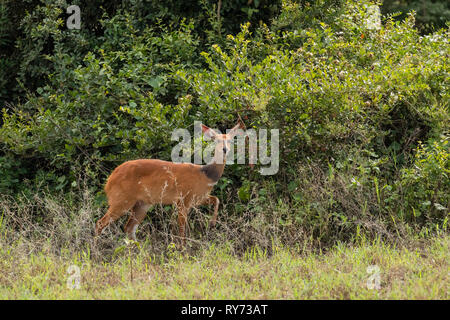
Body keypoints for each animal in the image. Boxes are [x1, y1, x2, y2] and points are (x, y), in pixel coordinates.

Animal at [93, 120, 244, 245]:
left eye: (230, 141)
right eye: (215, 140)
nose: (225, 149)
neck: (205, 175)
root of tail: (109, 180)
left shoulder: (198, 198)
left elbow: (216, 199)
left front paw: (212, 223)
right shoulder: (182, 200)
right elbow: (182, 229)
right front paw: (183, 249)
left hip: (142, 203)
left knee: (129, 228)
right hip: (121, 200)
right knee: (100, 223)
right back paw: (95, 250)